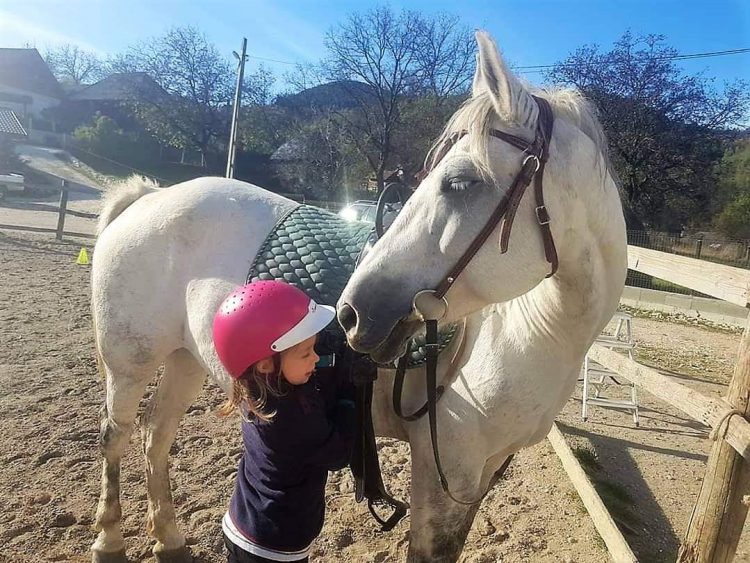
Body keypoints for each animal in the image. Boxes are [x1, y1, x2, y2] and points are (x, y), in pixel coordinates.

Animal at [89, 31, 626, 563]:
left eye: (460, 182)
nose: (350, 312)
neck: (525, 333)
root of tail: (150, 196)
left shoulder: (480, 473)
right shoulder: (444, 469)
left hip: (187, 358)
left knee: (156, 437)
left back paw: (169, 540)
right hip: (129, 363)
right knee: (116, 436)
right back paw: (109, 540)